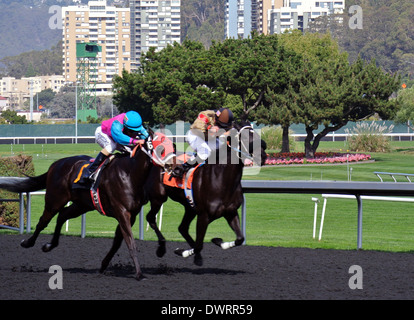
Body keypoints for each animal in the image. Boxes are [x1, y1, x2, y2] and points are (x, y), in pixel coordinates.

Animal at [146, 121, 268, 266]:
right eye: (244, 136)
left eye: (256, 134)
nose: (263, 156)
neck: (221, 180)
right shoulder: (204, 216)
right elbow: (199, 245)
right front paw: (183, 252)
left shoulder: (231, 212)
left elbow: (239, 238)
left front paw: (217, 241)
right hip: (158, 198)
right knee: (151, 218)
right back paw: (161, 248)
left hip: (189, 207)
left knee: (182, 228)